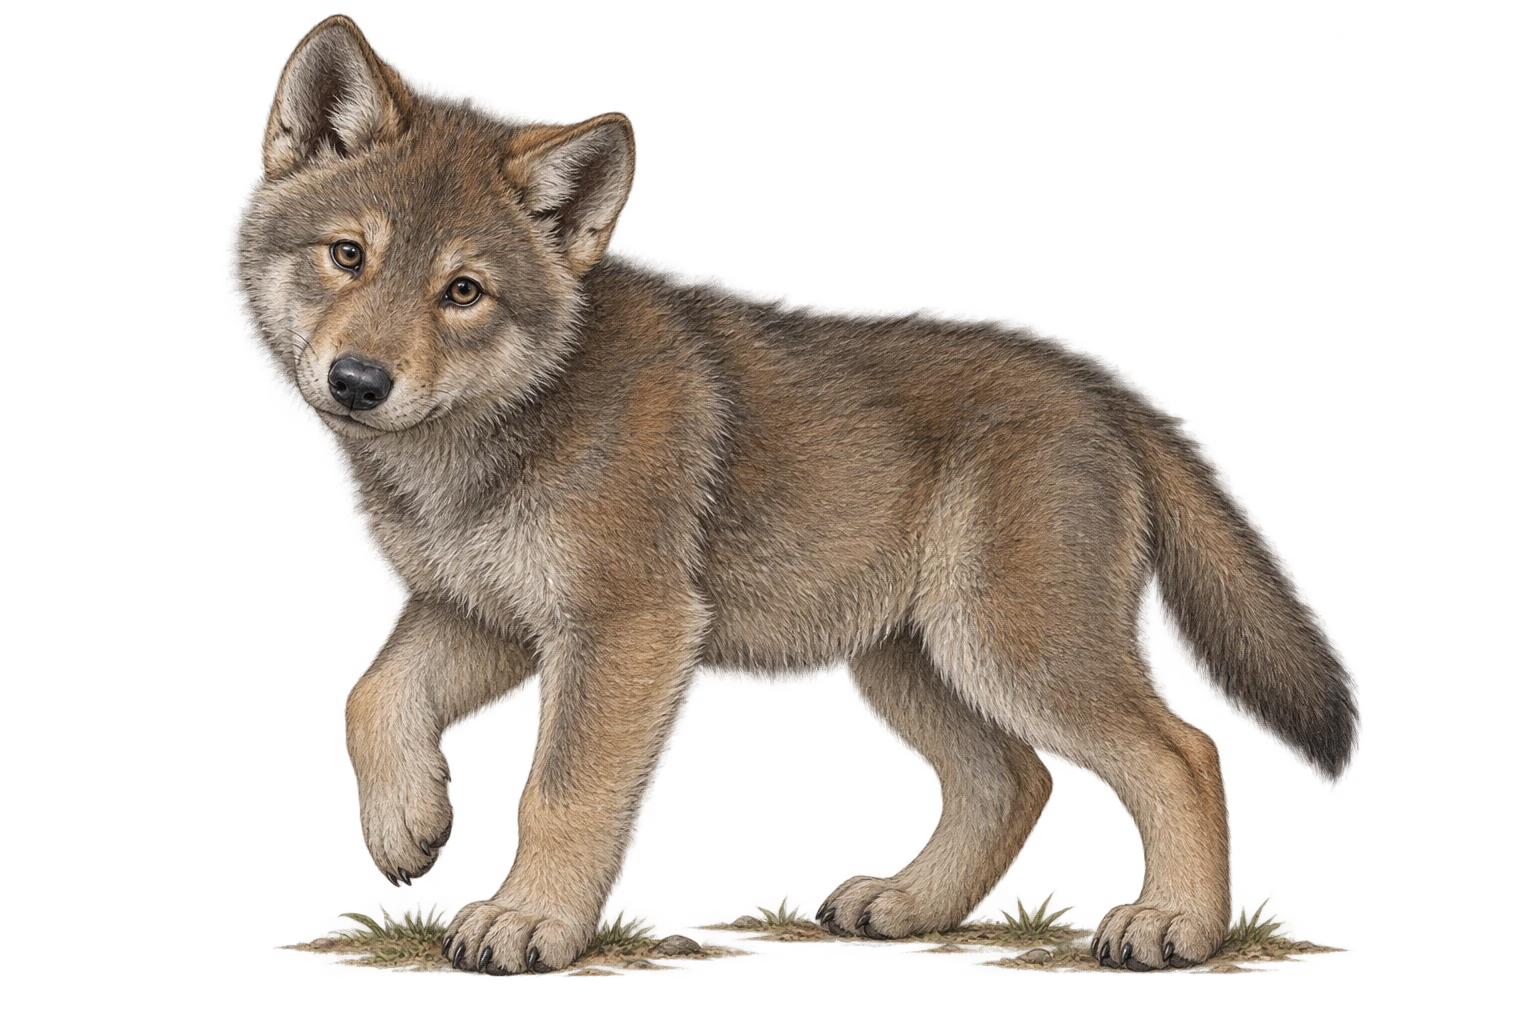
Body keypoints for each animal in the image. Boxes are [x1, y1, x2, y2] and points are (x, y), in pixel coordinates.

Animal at [238, 16, 1360, 976]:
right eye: (348, 256)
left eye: (462, 292)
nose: (358, 382)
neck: (487, 438)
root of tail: (1103, 395)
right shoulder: (494, 618)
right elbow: (369, 693)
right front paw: (405, 824)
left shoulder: (623, 628)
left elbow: (562, 792)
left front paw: (527, 920)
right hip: (909, 660)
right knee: (1014, 778)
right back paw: (911, 905)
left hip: (1006, 652)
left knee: (1183, 751)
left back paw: (1174, 924)